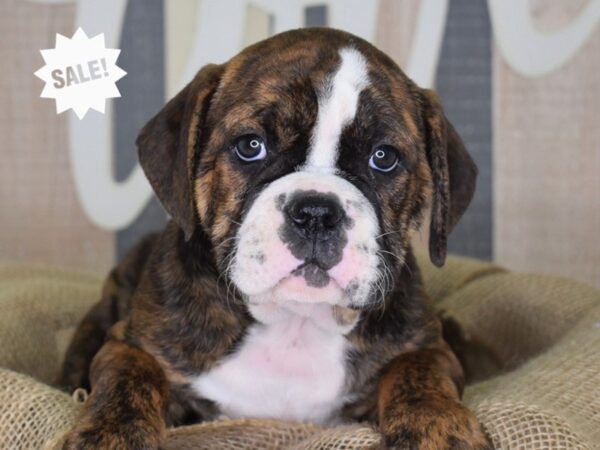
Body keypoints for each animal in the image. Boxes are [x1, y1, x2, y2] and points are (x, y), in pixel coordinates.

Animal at [59, 29, 492, 450]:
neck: (293, 323)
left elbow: (417, 373)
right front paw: (111, 435)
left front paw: (439, 428)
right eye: (251, 146)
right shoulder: (129, 344)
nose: (316, 213)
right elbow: (130, 379)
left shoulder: (430, 348)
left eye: (384, 157)